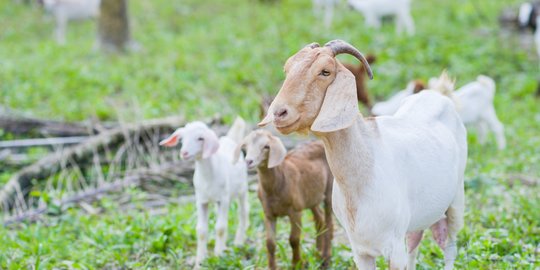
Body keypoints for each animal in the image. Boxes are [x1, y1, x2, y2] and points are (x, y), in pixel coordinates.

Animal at [158, 117, 247, 268]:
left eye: (200, 138)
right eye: (182, 139)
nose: (184, 153)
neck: (208, 176)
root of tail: (229, 139)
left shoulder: (223, 199)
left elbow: (220, 228)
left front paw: (218, 256)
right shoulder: (201, 200)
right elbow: (201, 230)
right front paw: (199, 262)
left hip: (242, 190)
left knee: (243, 213)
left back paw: (238, 244)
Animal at [233, 130, 334, 268]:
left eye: (266, 146)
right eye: (245, 146)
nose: (249, 161)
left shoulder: (296, 211)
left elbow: (294, 240)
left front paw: (296, 264)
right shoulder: (268, 213)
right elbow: (270, 243)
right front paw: (272, 267)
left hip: (330, 188)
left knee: (329, 221)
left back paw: (326, 257)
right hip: (311, 197)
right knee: (320, 220)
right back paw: (317, 255)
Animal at [260, 39, 466, 268]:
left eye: (325, 71)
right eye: (287, 69)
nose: (279, 113)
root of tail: (440, 95)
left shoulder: (395, 250)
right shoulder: (360, 250)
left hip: (456, 201)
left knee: (450, 247)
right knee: (415, 244)